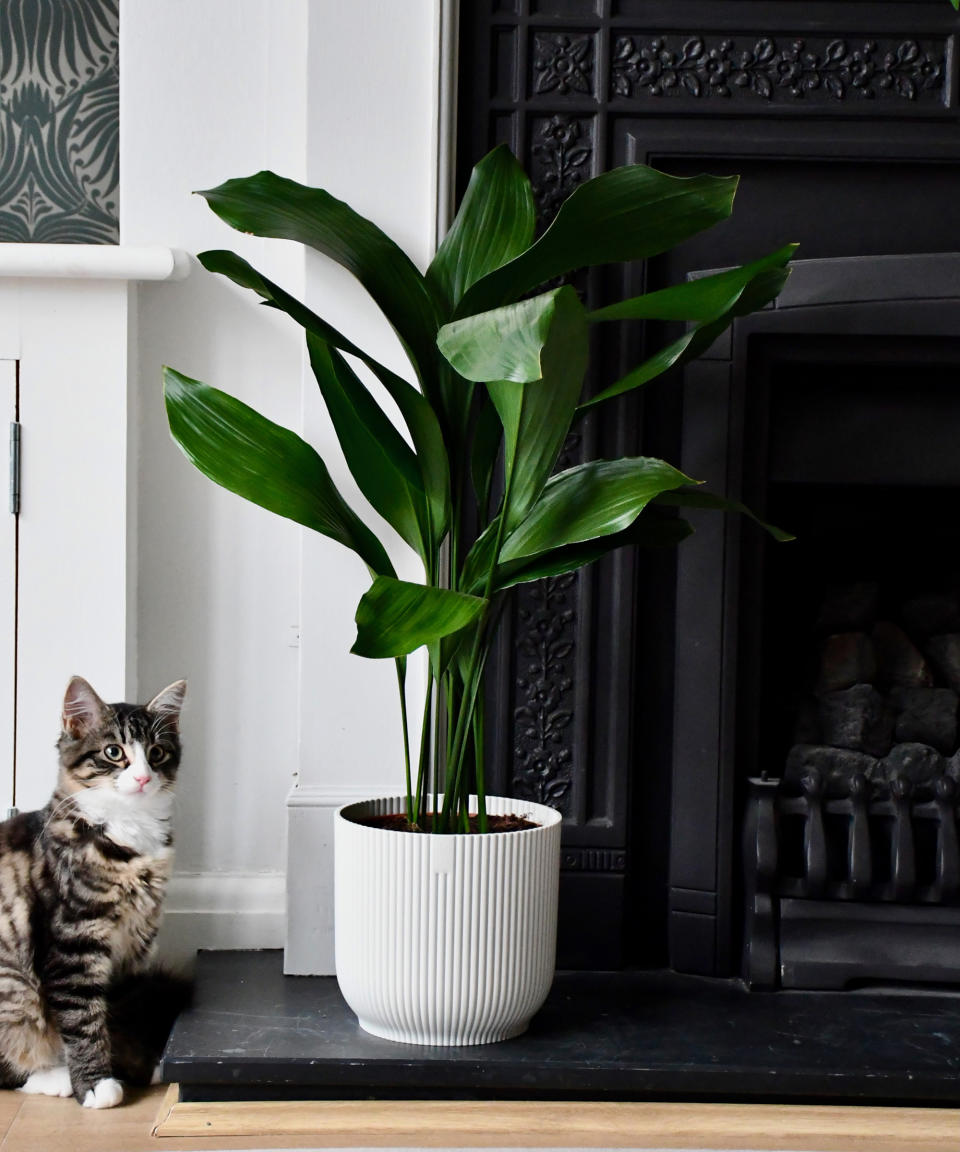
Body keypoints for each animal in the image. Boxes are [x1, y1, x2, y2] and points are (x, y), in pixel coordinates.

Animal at [0, 672, 186, 1105]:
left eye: (156, 753)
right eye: (114, 752)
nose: (143, 777)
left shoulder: (131, 948)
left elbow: (116, 1013)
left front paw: (133, 1064)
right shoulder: (73, 942)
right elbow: (83, 1018)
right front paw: (96, 1084)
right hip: (13, 984)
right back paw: (56, 1078)